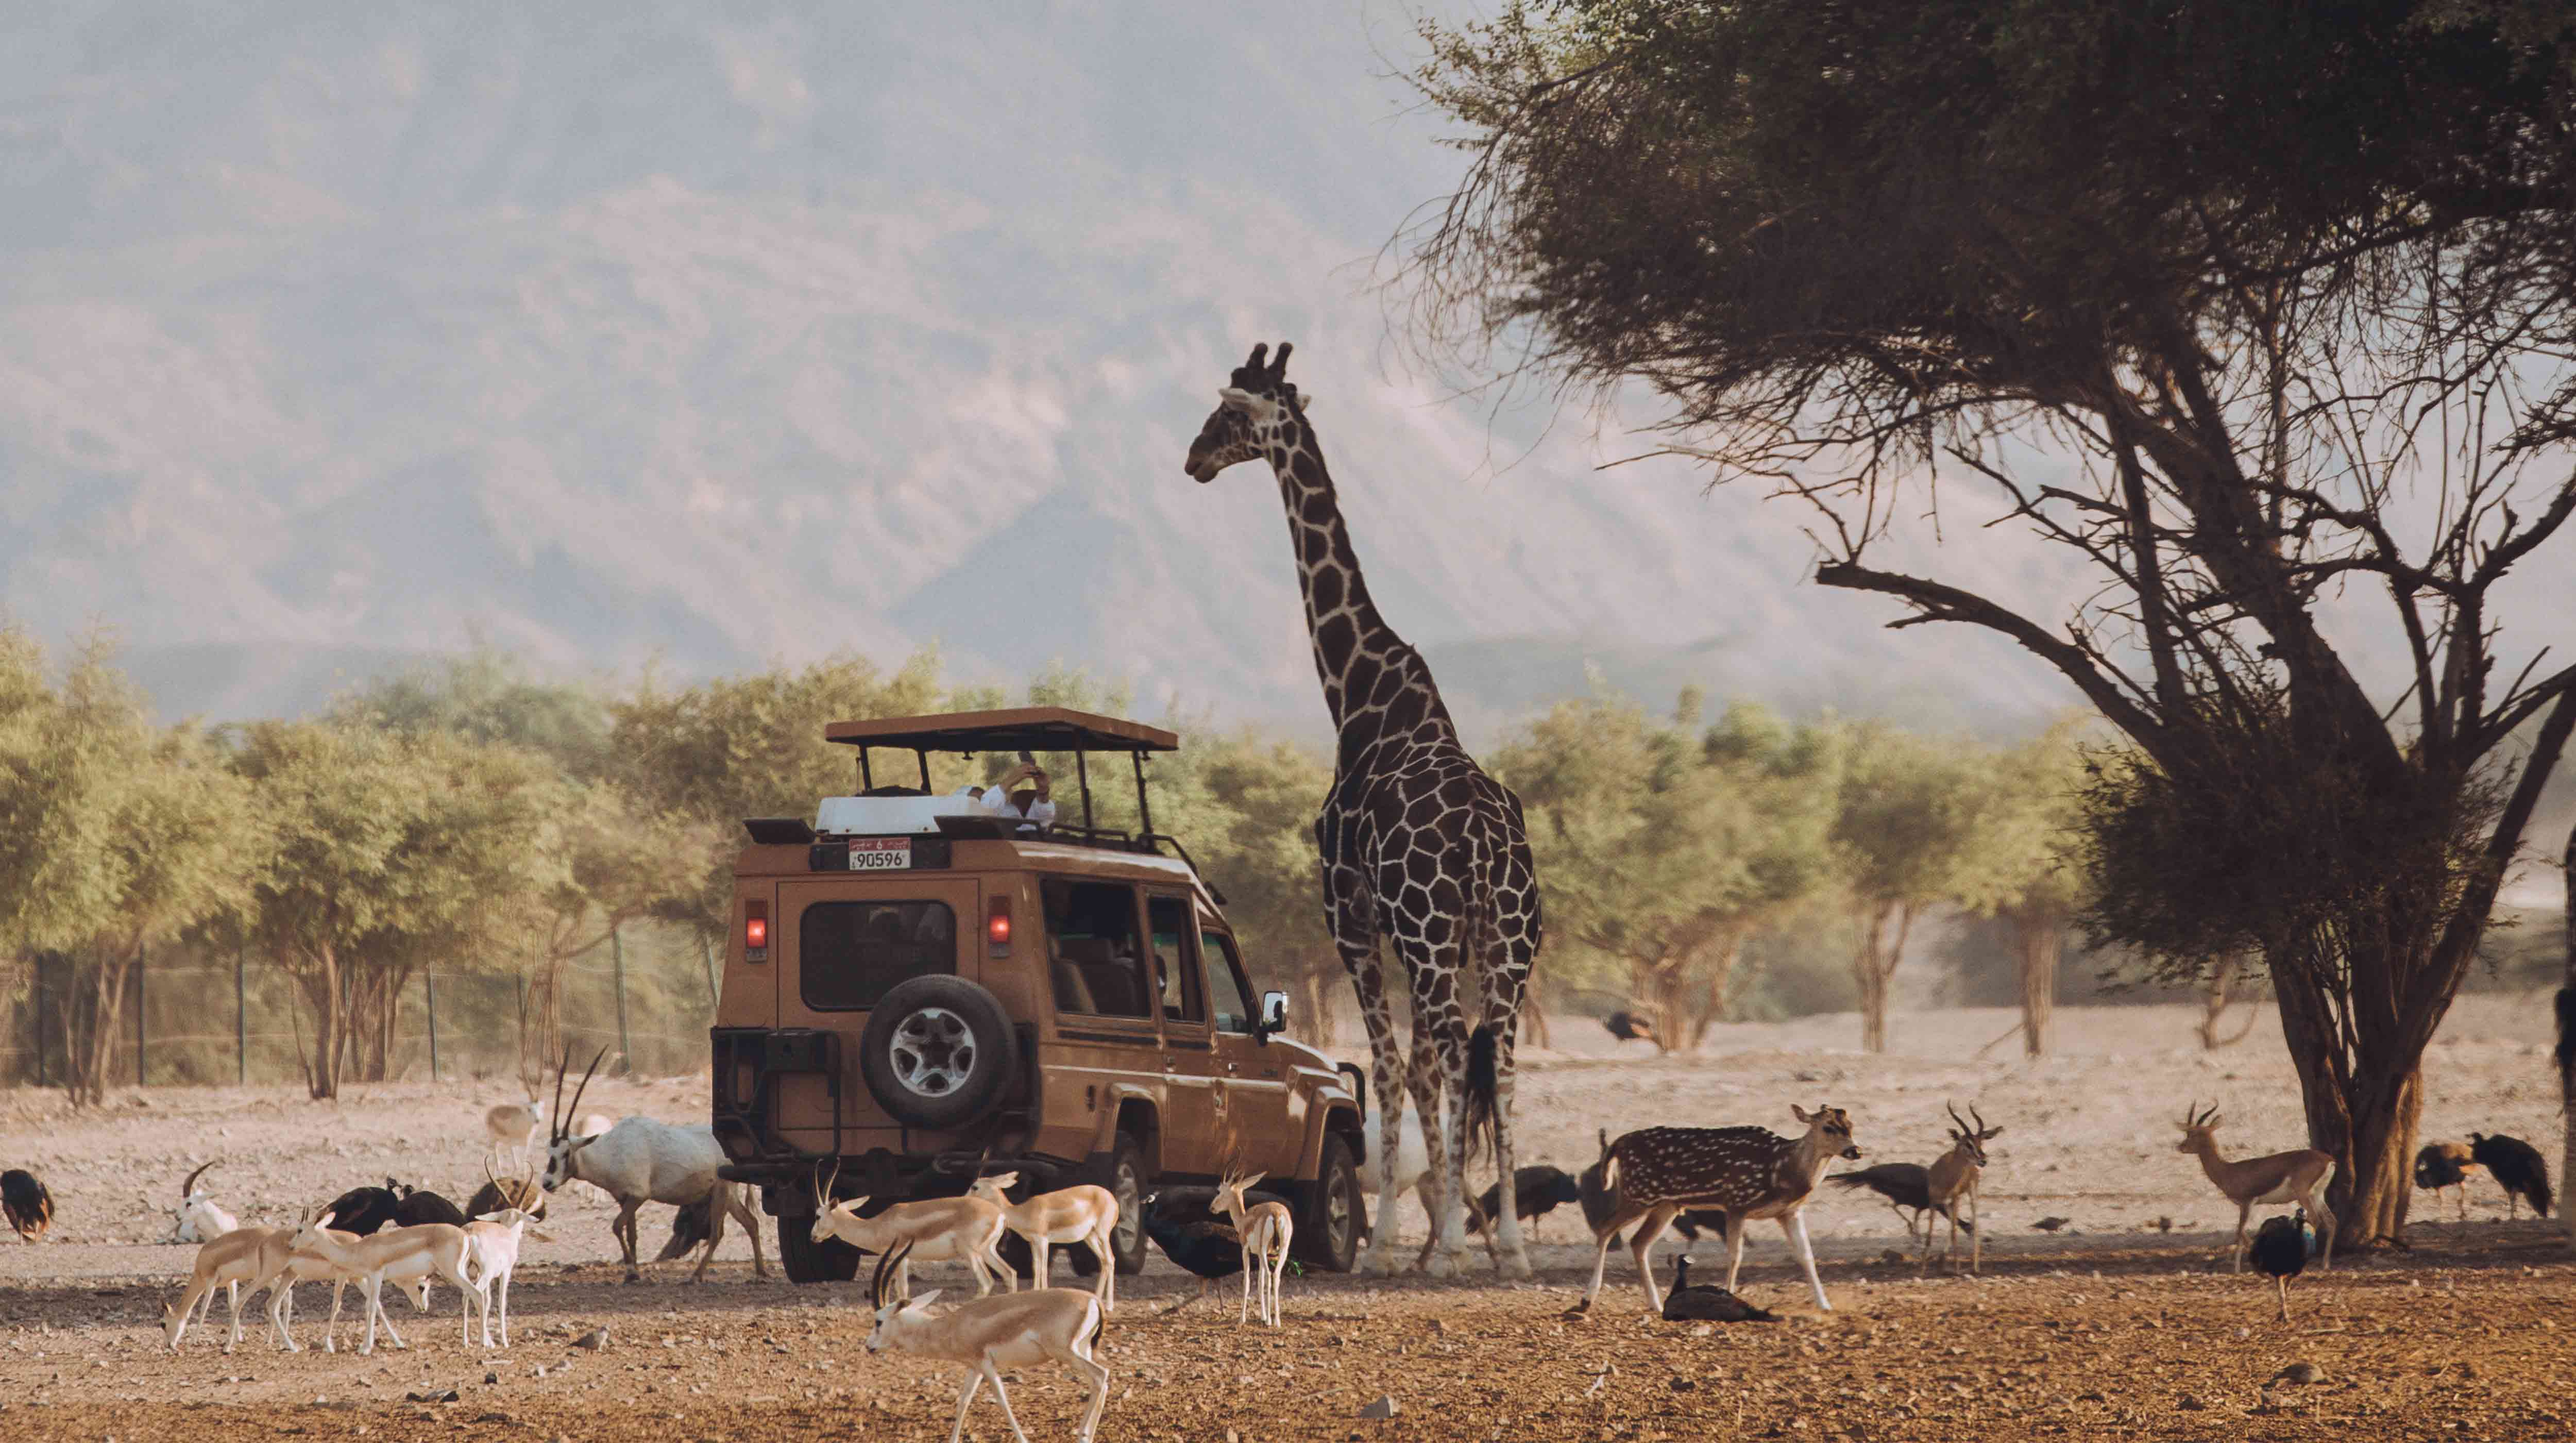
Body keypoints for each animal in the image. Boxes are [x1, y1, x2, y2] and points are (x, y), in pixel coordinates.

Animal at [1180, 343, 1535, 1278]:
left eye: (1227, 413)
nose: (1193, 460)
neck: (1358, 694)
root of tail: (1484, 835)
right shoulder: (1400, 930)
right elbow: (1419, 1066)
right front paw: (1428, 1237)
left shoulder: (1349, 913)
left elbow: (1394, 1063)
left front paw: (1388, 1244)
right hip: (1510, 940)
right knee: (1501, 1058)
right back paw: (1510, 1248)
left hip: (1433, 930)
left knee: (1450, 1049)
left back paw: (1453, 1246)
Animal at [1556, 1103, 1865, 1319]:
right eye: (1828, 1127)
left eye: (1851, 1125)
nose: (1856, 1151)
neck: (1782, 1172)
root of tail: (1619, 1143)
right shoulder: (1736, 1203)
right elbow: (1735, 1256)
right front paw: (1729, 1296)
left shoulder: (1789, 1212)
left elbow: (1807, 1256)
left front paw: (1825, 1305)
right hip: (1638, 1193)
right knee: (1605, 1229)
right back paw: (1587, 1299)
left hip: (1666, 1204)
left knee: (1638, 1242)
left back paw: (1655, 1304)